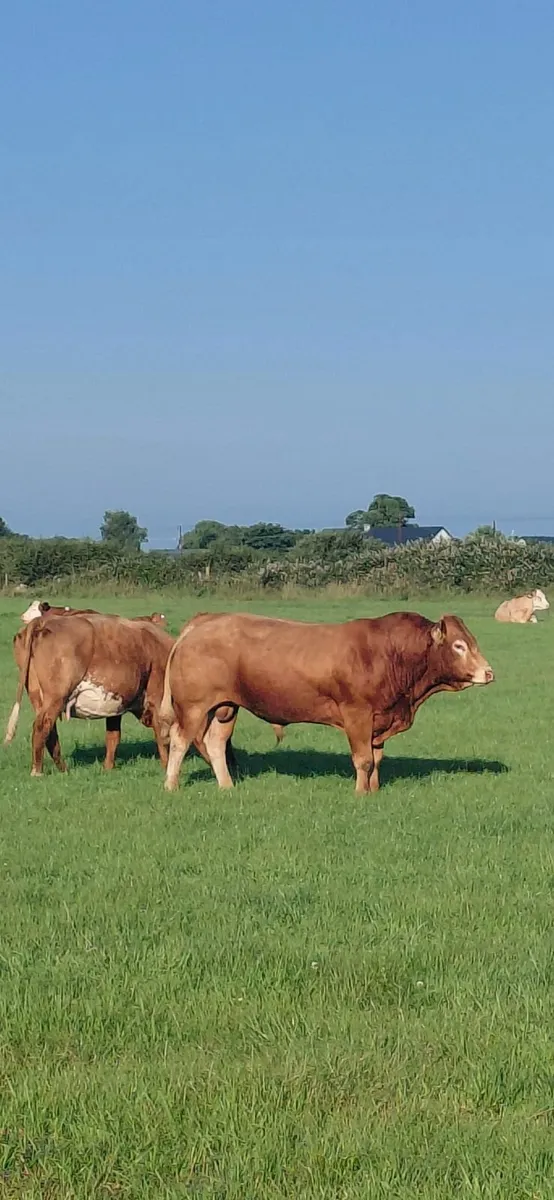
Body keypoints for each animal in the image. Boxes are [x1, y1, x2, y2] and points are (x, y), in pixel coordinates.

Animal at [160, 610, 494, 794]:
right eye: (459, 646)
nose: (489, 672)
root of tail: (204, 622)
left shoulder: (380, 719)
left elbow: (377, 758)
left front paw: (374, 789)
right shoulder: (357, 715)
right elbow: (364, 759)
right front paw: (360, 794)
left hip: (226, 708)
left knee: (215, 743)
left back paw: (226, 785)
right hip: (193, 706)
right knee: (180, 740)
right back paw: (171, 785)